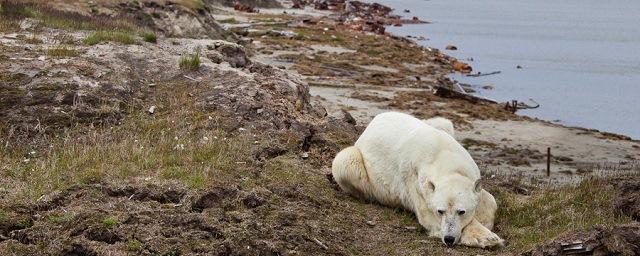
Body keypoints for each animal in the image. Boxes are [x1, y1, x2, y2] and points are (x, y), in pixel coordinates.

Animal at [330, 112, 504, 248]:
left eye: (461, 211)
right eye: (440, 211)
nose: (448, 239)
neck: (442, 154)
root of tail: (368, 127)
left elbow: (489, 199)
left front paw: (485, 221)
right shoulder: (415, 181)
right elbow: (427, 216)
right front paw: (486, 237)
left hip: (439, 124)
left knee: (443, 121)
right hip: (357, 162)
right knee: (345, 162)